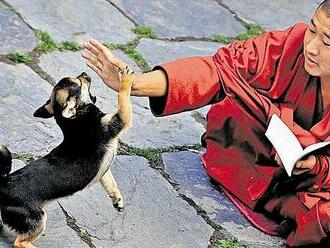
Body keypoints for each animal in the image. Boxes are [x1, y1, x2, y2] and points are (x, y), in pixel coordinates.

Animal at [0, 66, 133, 248]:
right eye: (78, 83)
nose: (84, 73)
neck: (76, 118)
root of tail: (3, 184)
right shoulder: (119, 120)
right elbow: (123, 97)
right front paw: (125, 81)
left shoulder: (103, 170)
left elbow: (110, 183)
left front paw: (117, 199)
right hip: (39, 219)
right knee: (19, 242)